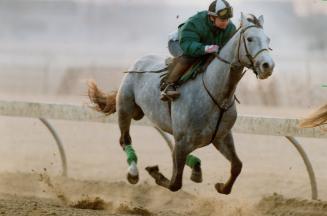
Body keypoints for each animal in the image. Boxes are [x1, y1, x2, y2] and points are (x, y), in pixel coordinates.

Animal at [88, 13, 276, 196]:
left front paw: (221, 186)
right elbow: (175, 183)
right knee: (124, 140)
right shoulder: (183, 142)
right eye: (250, 39)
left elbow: (237, 166)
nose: (268, 66)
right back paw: (133, 172)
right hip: (125, 108)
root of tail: (139, 61)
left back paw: (195, 167)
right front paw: (155, 173)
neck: (216, 93)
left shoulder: (221, 137)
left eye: (268, 39)